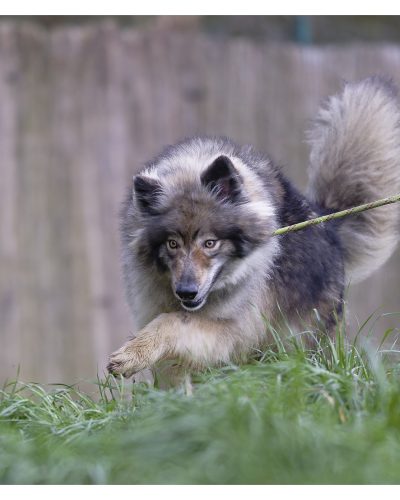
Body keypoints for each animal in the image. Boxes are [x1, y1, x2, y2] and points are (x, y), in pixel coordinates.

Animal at [107, 77, 400, 382]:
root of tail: (325, 220)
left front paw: (132, 354)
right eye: (172, 244)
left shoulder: (232, 331)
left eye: (210, 243)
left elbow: (174, 321)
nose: (186, 292)